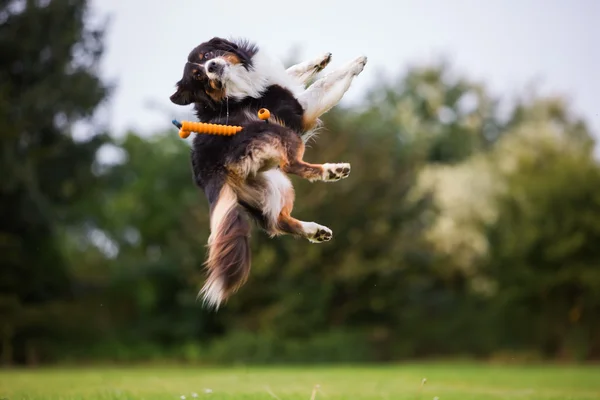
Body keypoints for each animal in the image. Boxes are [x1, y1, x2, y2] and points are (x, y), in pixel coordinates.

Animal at [169, 37, 366, 308]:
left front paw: (320, 60)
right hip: (279, 134)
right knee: (293, 166)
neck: (234, 89)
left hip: (271, 183)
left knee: (276, 223)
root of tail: (208, 170)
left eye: (206, 56)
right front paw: (356, 62)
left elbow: (291, 71)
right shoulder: (300, 109)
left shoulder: (274, 79)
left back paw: (314, 230)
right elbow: (324, 83)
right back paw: (333, 171)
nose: (211, 67)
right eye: (199, 76)